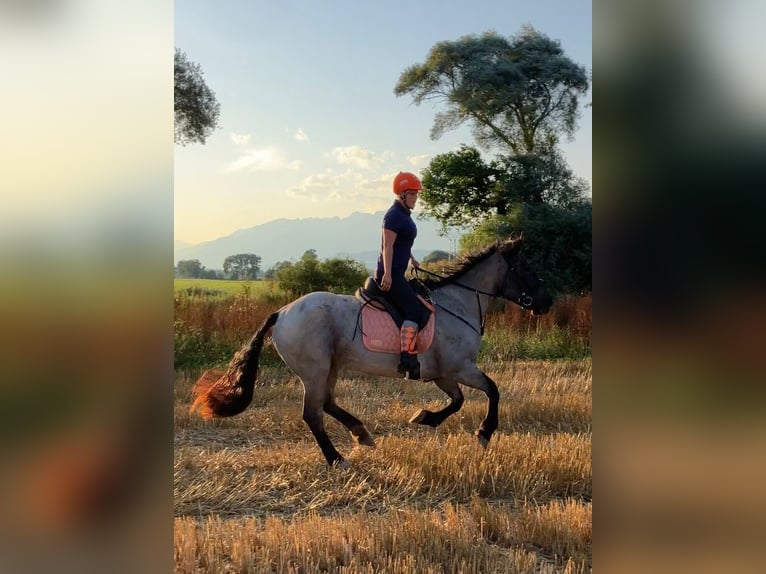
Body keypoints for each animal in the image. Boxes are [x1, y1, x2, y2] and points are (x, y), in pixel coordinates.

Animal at [191, 236, 552, 470]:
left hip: (331, 367)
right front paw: (484, 433)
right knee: (313, 413)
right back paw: (337, 459)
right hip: (315, 370)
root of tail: (282, 312)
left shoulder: (443, 373)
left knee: (327, 404)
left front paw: (425, 417)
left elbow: (458, 401)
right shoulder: (459, 368)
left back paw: (361, 434)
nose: (547, 302)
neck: (458, 303)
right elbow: (492, 390)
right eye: (524, 267)